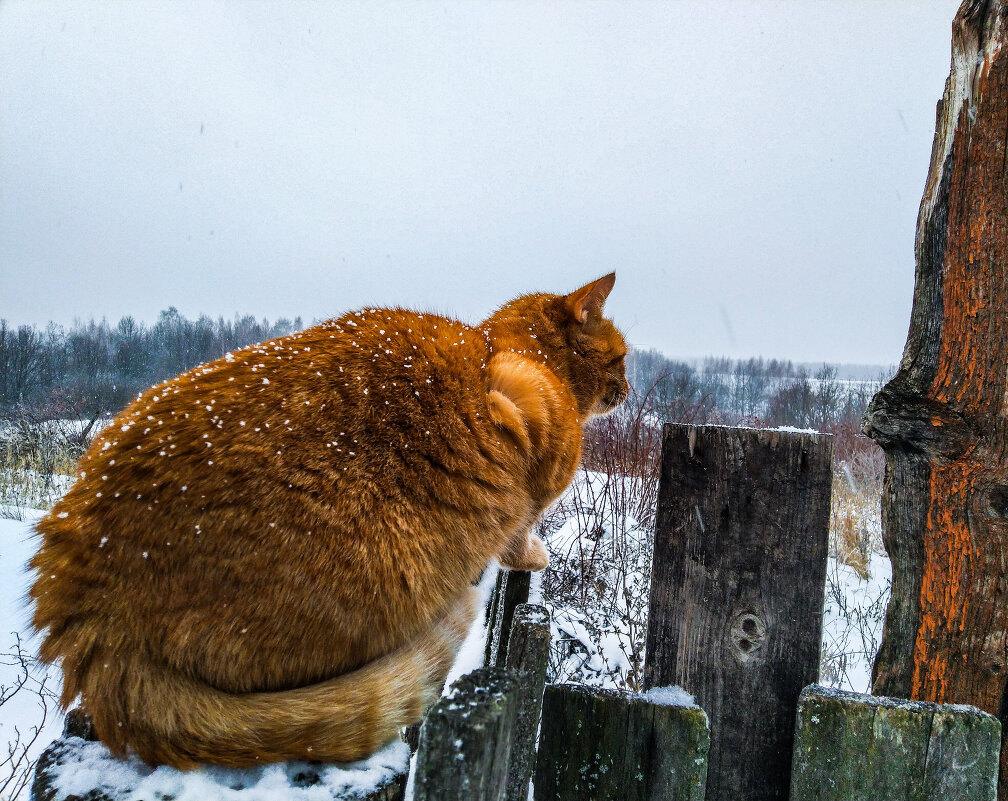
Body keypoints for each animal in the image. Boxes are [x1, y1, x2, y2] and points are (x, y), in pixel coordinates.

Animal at [31, 276, 624, 769]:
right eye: (620, 359)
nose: (628, 389)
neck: (521, 350)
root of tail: (92, 609)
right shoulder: (519, 397)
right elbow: (520, 528)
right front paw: (534, 553)